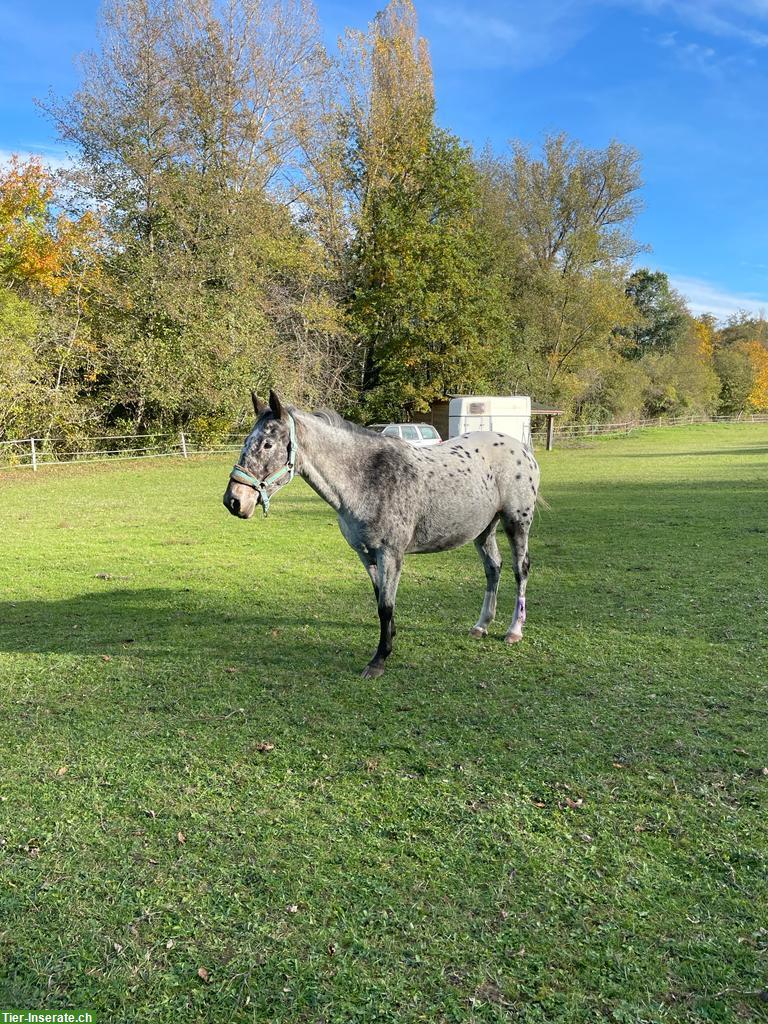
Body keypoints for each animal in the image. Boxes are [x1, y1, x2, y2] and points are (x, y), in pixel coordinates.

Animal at [225, 387, 544, 675]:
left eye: (267, 444)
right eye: (247, 440)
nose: (234, 500)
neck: (368, 478)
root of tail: (521, 448)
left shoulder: (391, 554)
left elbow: (385, 606)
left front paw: (378, 660)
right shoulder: (367, 555)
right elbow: (381, 600)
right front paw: (390, 641)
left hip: (516, 523)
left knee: (520, 570)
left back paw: (514, 630)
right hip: (483, 529)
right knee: (493, 568)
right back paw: (481, 625)